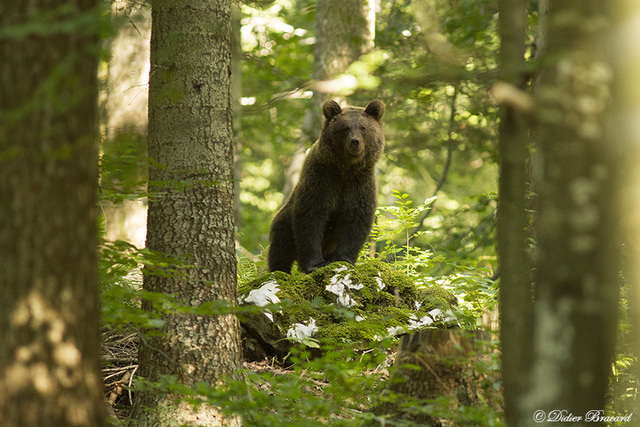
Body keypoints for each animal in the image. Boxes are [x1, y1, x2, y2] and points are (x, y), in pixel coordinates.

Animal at [266, 100, 382, 274]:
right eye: (345, 127)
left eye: (363, 127)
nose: (355, 142)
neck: (345, 169)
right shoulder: (321, 179)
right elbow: (311, 218)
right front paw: (315, 264)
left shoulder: (359, 184)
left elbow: (356, 221)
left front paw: (344, 259)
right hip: (284, 221)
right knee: (280, 246)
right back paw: (279, 270)